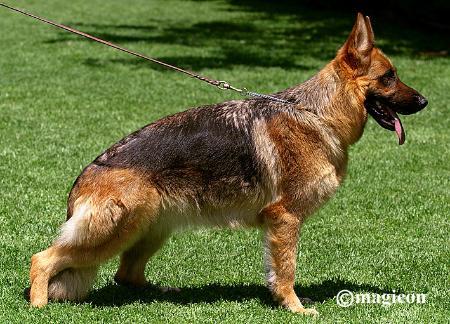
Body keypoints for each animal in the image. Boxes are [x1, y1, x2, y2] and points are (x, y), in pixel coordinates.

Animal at [29, 13, 428, 316]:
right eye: (389, 77)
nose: (425, 102)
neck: (319, 114)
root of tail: (86, 175)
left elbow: (279, 270)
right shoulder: (285, 219)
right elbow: (286, 269)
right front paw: (295, 308)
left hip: (151, 227)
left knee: (125, 275)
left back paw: (160, 293)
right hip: (114, 229)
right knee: (42, 258)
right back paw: (38, 305)